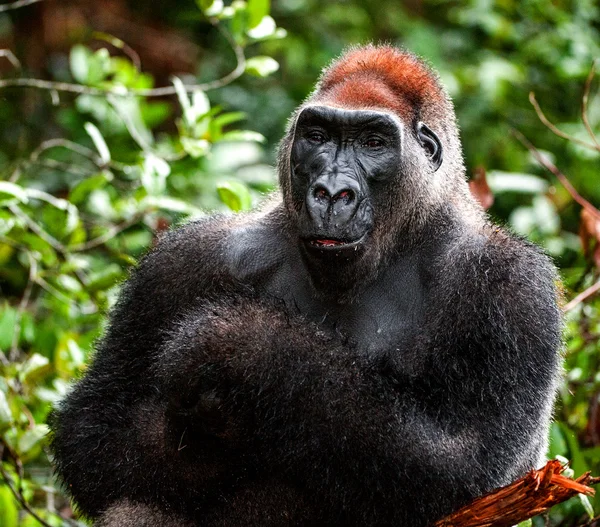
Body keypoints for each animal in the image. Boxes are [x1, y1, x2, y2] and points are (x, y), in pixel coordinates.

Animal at [50, 46, 564, 527]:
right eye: (318, 137)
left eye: (373, 142)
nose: (332, 193)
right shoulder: (184, 260)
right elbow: (92, 433)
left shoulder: (515, 289)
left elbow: (469, 462)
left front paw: (240, 347)